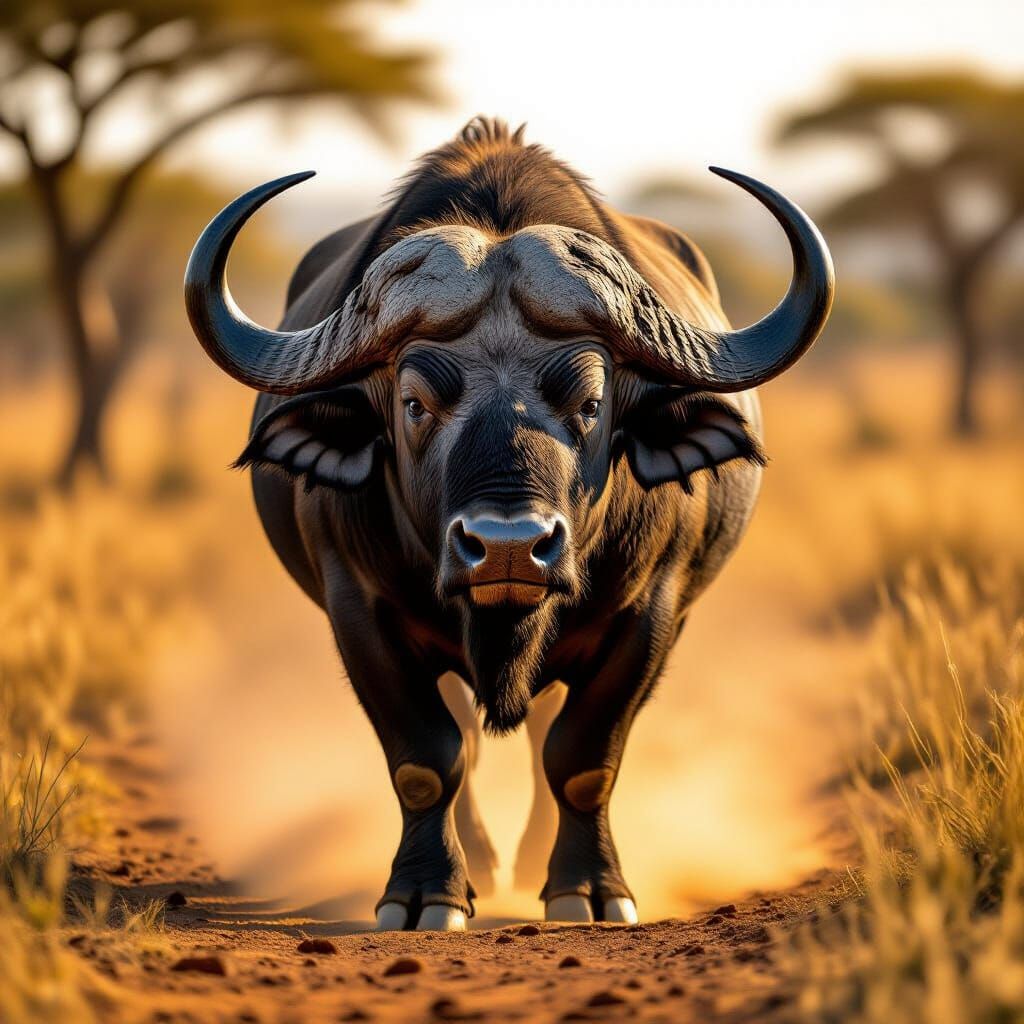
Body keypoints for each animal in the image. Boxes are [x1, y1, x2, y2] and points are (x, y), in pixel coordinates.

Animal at [184, 118, 833, 931]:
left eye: (591, 403)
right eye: (414, 403)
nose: (508, 550)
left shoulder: (650, 614)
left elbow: (582, 759)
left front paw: (588, 889)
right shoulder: (356, 610)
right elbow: (427, 759)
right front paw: (427, 893)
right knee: (466, 728)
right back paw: (486, 865)